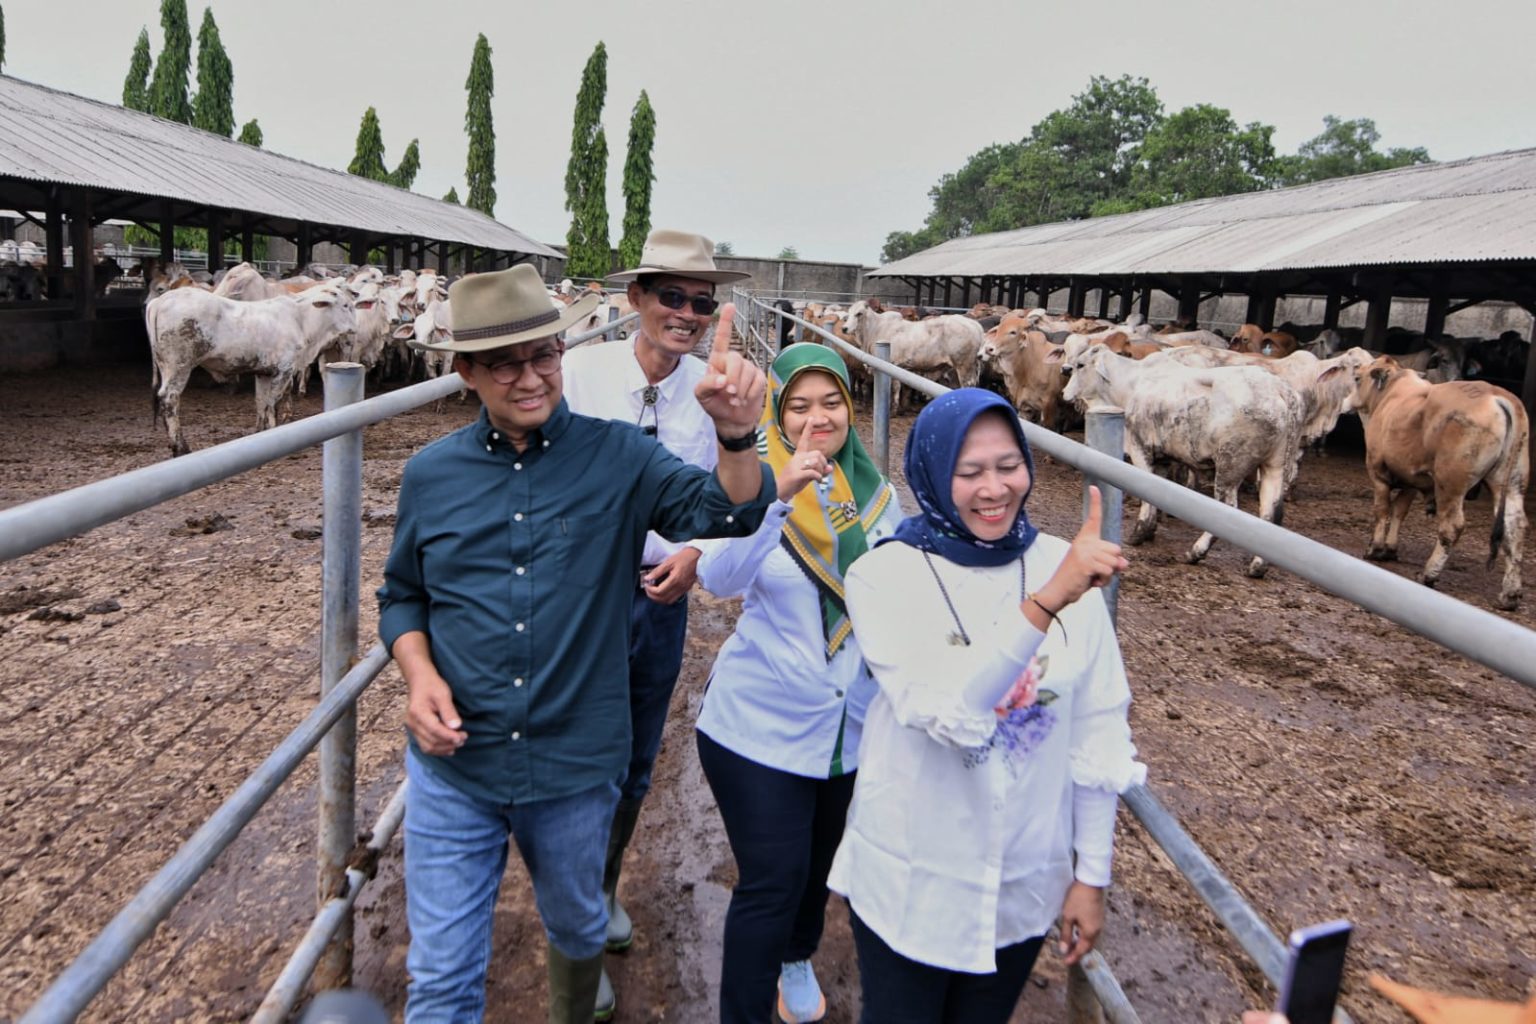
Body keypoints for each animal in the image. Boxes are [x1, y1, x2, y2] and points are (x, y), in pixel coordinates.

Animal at [1345, 356, 1523, 607]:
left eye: (1357, 378)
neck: (1390, 394)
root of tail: (1496, 395)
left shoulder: (1377, 471)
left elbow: (1382, 509)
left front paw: (1375, 548)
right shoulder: (1411, 479)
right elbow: (1399, 511)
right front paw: (1390, 549)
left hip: (1451, 485)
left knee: (1452, 526)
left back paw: (1429, 574)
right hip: (1510, 483)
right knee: (1514, 528)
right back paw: (1510, 594)